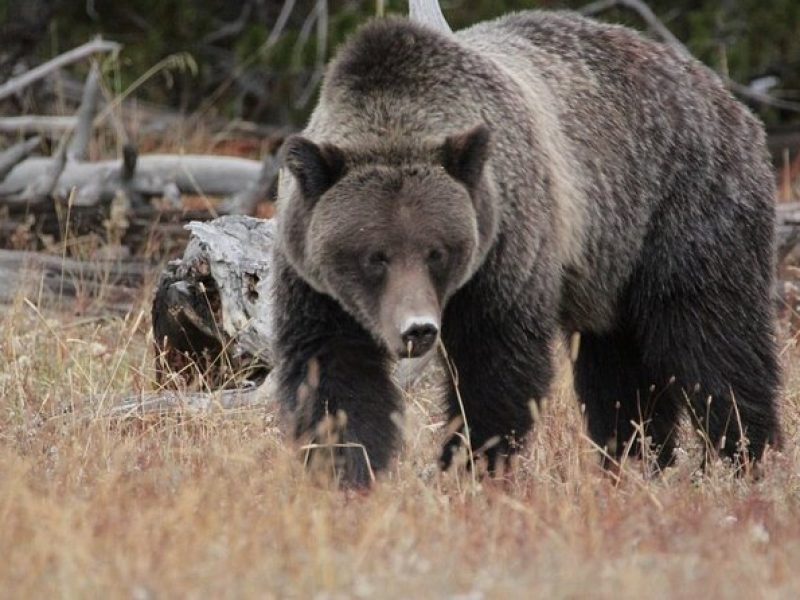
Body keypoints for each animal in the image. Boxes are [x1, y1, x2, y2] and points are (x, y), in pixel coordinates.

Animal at [272, 11, 780, 486]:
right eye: (375, 255)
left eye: (437, 251)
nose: (418, 329)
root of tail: (729, 99)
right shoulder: (314, 283)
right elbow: (333, 375)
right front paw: (346, 470)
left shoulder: (506, 248)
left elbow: (493, 368)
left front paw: (468, 465)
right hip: (613, 270)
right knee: (620, 374)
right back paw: (635, 461)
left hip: (684, 208)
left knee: (714, 345)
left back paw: (745, 461)